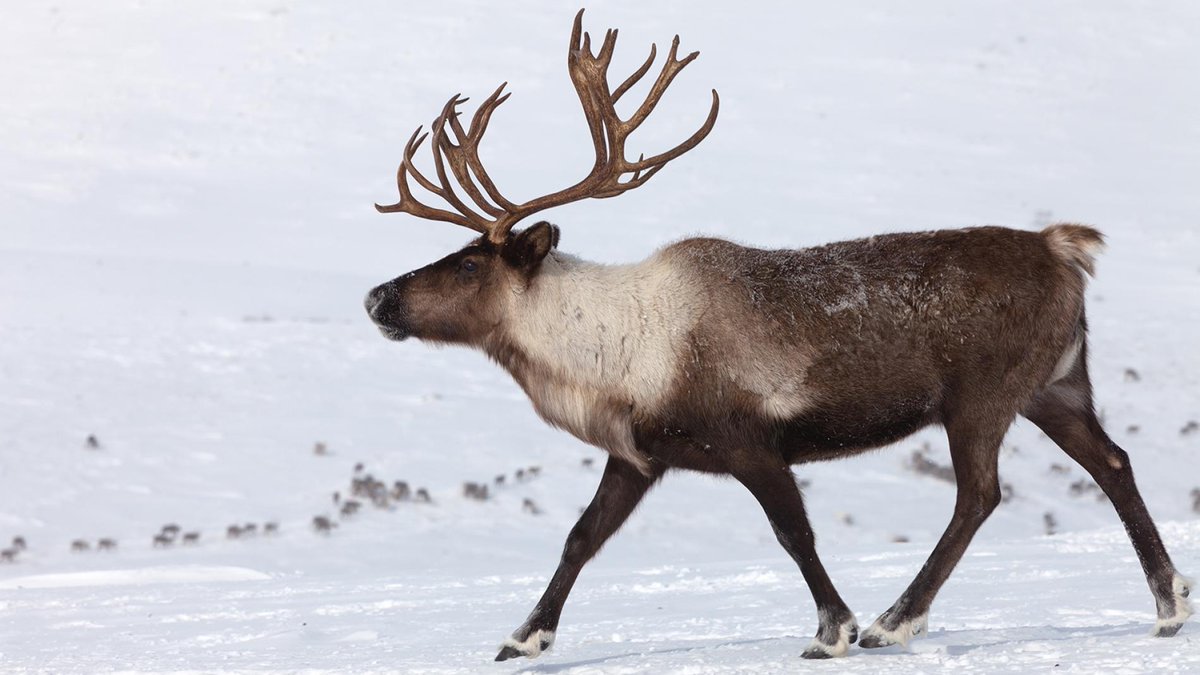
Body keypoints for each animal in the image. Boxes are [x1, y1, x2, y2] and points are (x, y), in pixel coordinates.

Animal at [364, 9, 1192, 661]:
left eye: (470, 261)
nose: (377, 296)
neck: (604, 350)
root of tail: (1063, 247)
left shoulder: (751, 441)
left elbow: (795, 534)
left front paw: (833, 629)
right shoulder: (638, 454)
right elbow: (581, 536)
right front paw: (521, 636)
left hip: (982, 395)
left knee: (980, 494)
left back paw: (894, 620)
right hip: (1057, 383)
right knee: (1112, 462)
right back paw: (1170, 602)